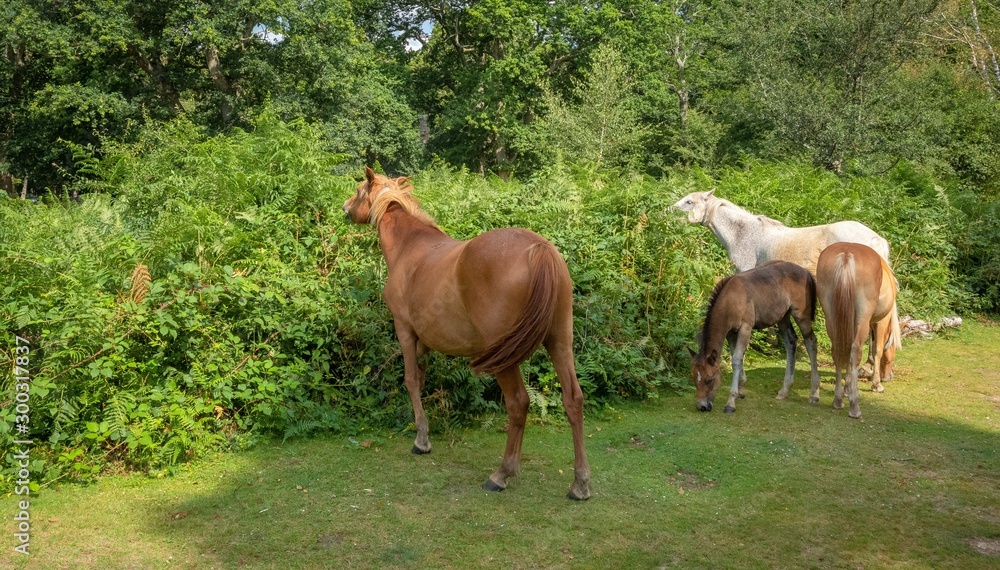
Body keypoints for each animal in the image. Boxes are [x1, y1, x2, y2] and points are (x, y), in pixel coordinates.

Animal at [342, 167, 591, 500]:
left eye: (359, 190)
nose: (345, 208)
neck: (410, 246)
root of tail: (538, 249)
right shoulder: (424, 343)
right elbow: (421, 379)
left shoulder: (405, 332)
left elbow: (411, 381)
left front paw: (422, 440)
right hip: (559, 342)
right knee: (573, 400)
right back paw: (580, 484)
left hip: (505, 358)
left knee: (518, 403)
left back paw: (501, 474)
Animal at [688, 260, 821, 414]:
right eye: (694, 377)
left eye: (709, 379)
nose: (702, 406)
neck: (731, 299)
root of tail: (806, 272)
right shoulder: (731, 333)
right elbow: (737, 357)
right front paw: (741, 391)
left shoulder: (746, 328)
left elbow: (736, 359)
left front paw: (730, 403)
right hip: (783, 317)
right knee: (791, 342)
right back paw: (784, 390)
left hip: (801, 316)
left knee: (811, 341)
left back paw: (814, 394)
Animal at [816, 242, 901, 419]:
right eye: (894, 350)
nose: (888, 377)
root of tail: (846, 254)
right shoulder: (880, 322)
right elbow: (877, 350)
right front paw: (876, 384)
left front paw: (847, 388)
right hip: (862, 319)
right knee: (855, 351)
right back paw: (854, 406)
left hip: (832, 317)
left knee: (838, 350)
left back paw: (838, 400)